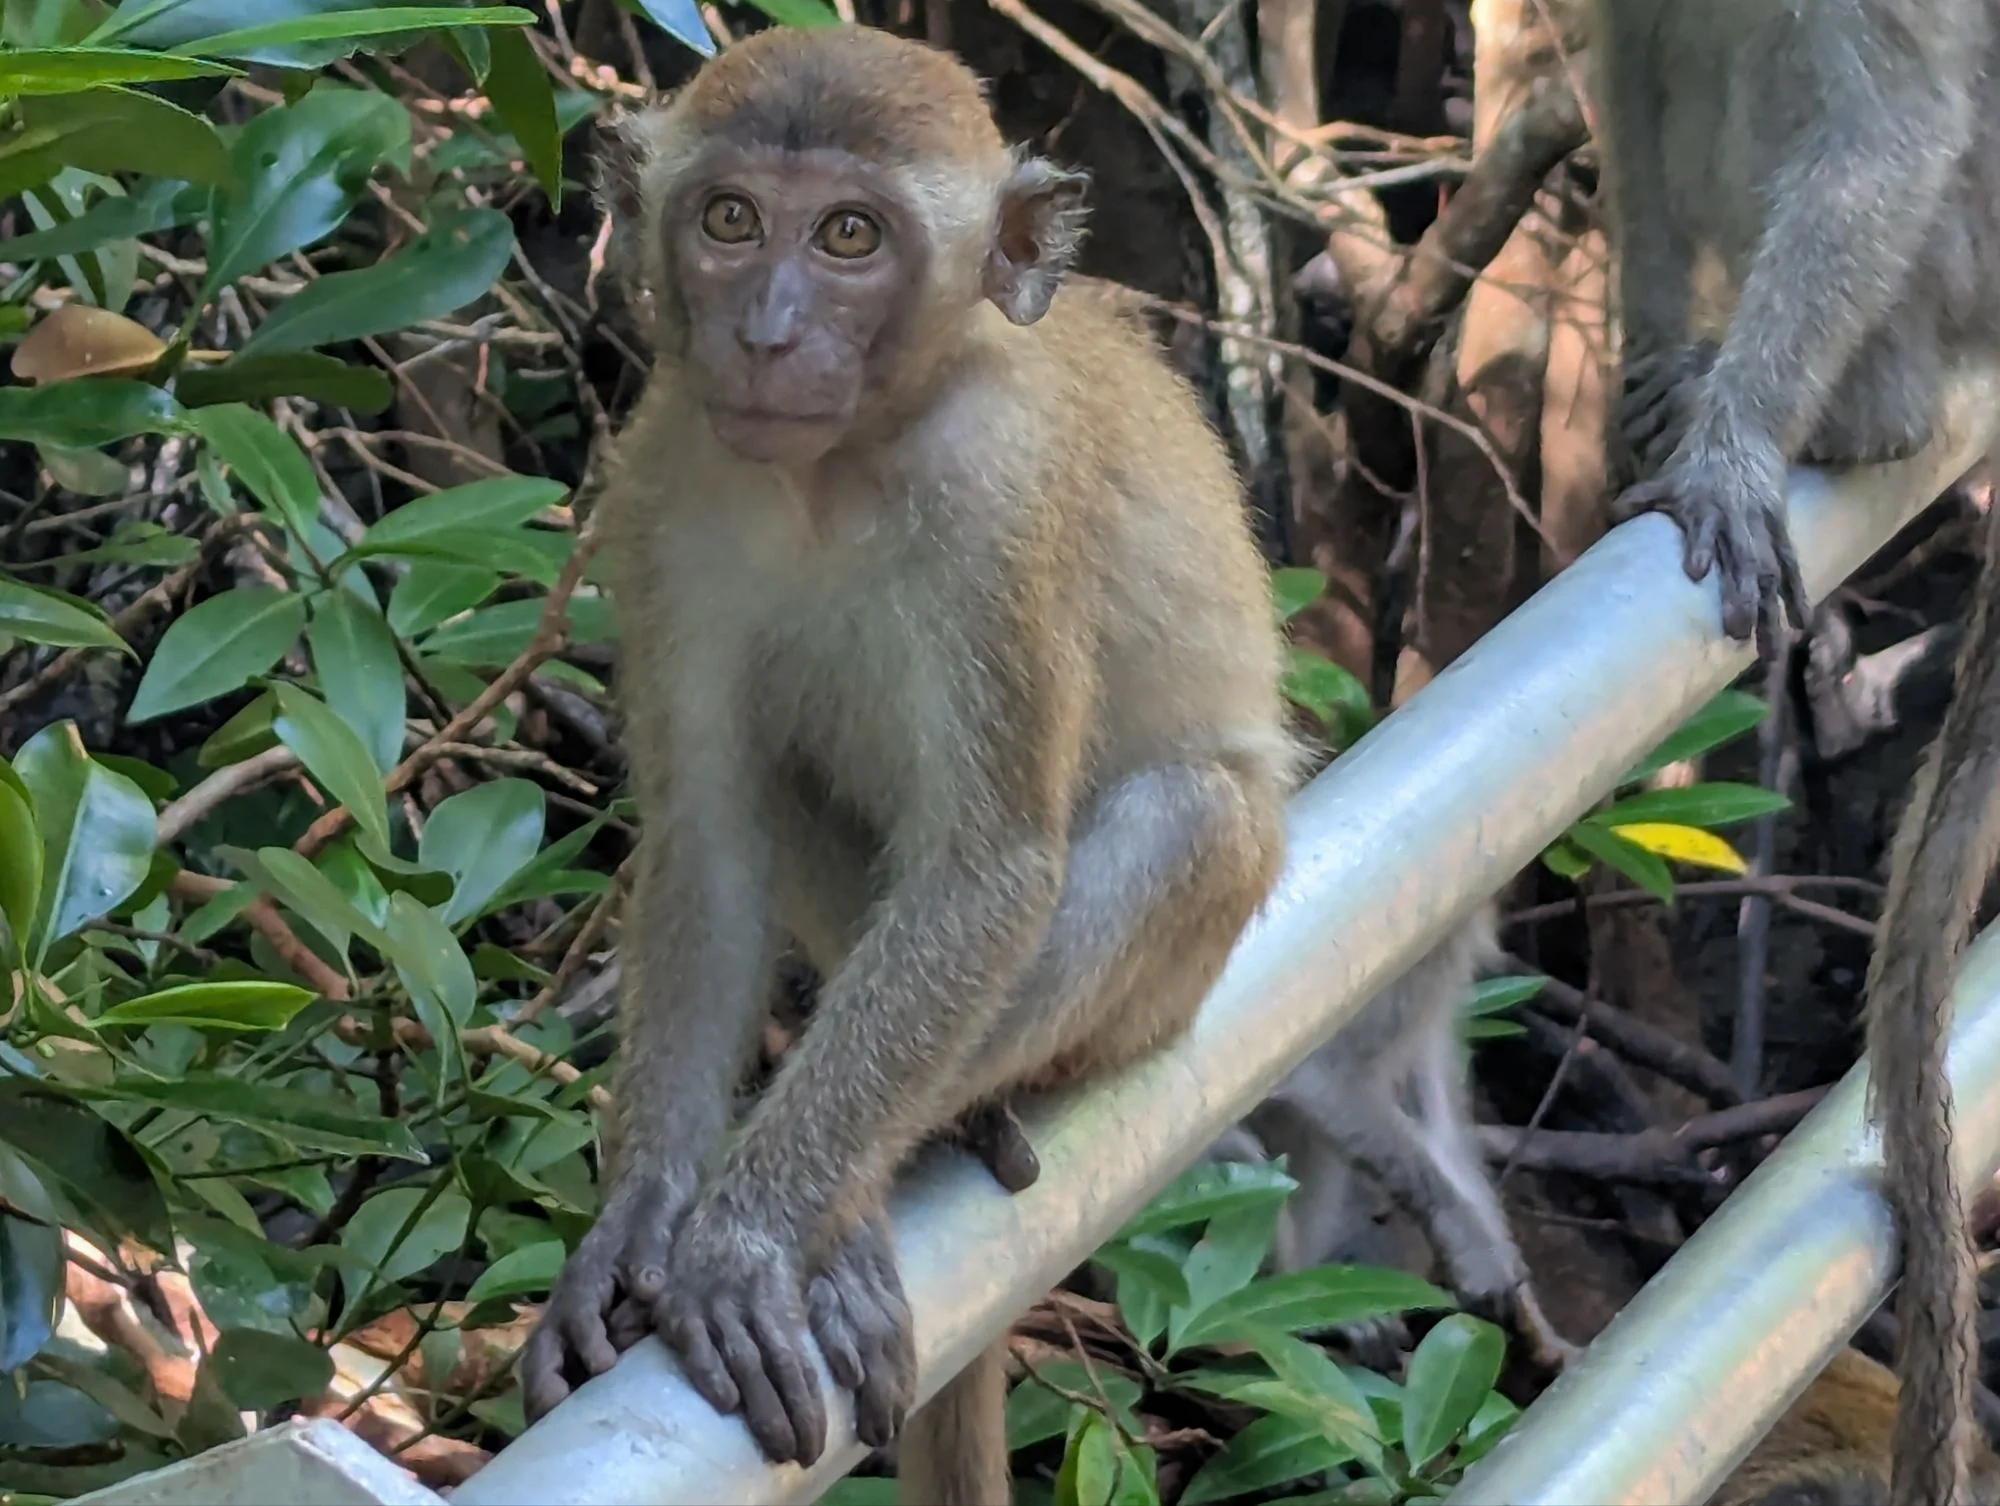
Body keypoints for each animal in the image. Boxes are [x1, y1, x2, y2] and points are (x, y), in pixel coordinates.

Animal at [515, 26, 1298, 1506]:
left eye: (849, 235)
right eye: (729, 219)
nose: (767, 331)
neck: (840, 464)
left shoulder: (1000, 495)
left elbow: (988, 873)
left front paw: (749, 1243)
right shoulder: (664, 477)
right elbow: (710, 837)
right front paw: (644, 1217)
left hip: (1173, 990)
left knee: (1185, 821)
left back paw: (858, 1211)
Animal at [1582, 4, 2000, 1498]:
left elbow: (1886, 130)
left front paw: (1739, 440)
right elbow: (1631, 62)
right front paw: (1655, 350)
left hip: (1960, 274)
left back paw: (1861, 410)